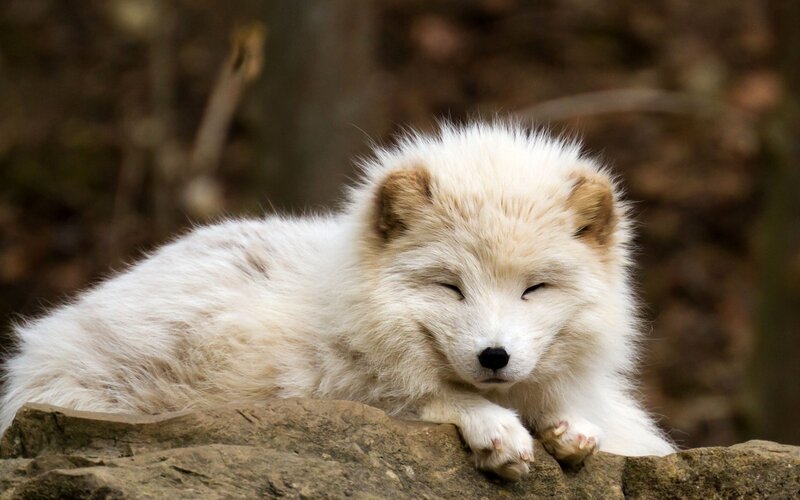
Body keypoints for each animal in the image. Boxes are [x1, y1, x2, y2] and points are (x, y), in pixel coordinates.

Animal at [0, 121, 675, 480]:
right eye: (449, 286)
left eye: (533, 288)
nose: (494, 357)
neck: (346, 302)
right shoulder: (323, 383)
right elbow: (422, 397)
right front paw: (495, 430)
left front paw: (568, 426)